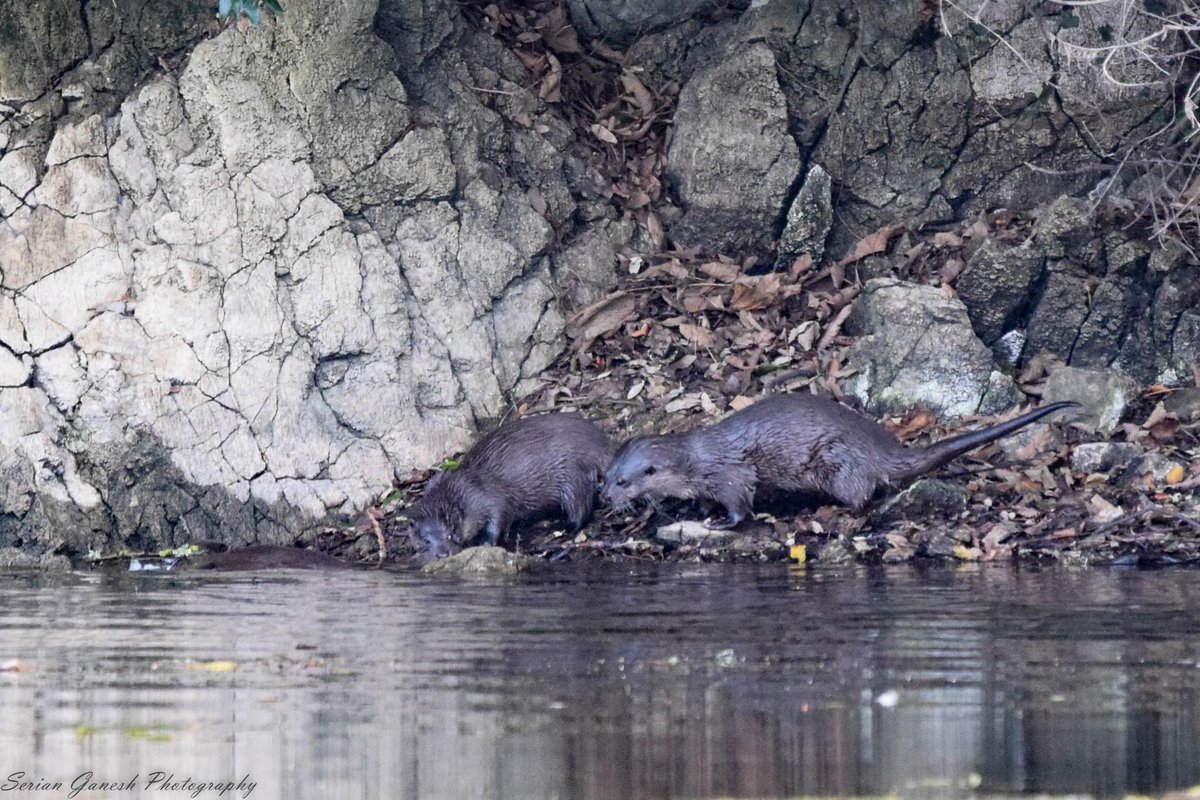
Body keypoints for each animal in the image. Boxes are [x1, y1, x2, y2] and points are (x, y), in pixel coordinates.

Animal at [409, 413, 615, 557]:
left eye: (451, 534)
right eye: (426, 540)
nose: (443, 554)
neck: (460, 490)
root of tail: (602, 444)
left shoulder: (486, 496)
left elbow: (498, 516)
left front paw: (486, 542)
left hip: (573, 474)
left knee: (580, 510)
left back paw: (555, 526)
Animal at [602, 394, 1079, 528]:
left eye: (625, 481)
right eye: (606, 476)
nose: (605, 497)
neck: (696, 460)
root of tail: (880, 446)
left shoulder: (729, 474)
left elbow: (740, 504)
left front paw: (724, 523)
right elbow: (703, 500)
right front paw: (695, 513)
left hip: (838, 460)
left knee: (862, 494)